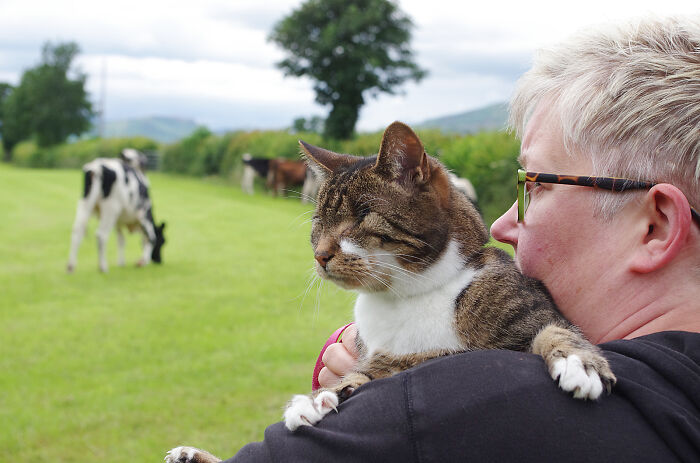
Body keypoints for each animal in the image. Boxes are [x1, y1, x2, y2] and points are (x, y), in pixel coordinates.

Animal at [164, 120, 612, 463]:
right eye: (319, 221)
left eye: (363, 215)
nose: (320, 255)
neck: (407, 296)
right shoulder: (383, 357)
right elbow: (358, 374)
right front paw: (315, 398)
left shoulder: (531, 311)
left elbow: (557, 331)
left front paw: (578, 363)